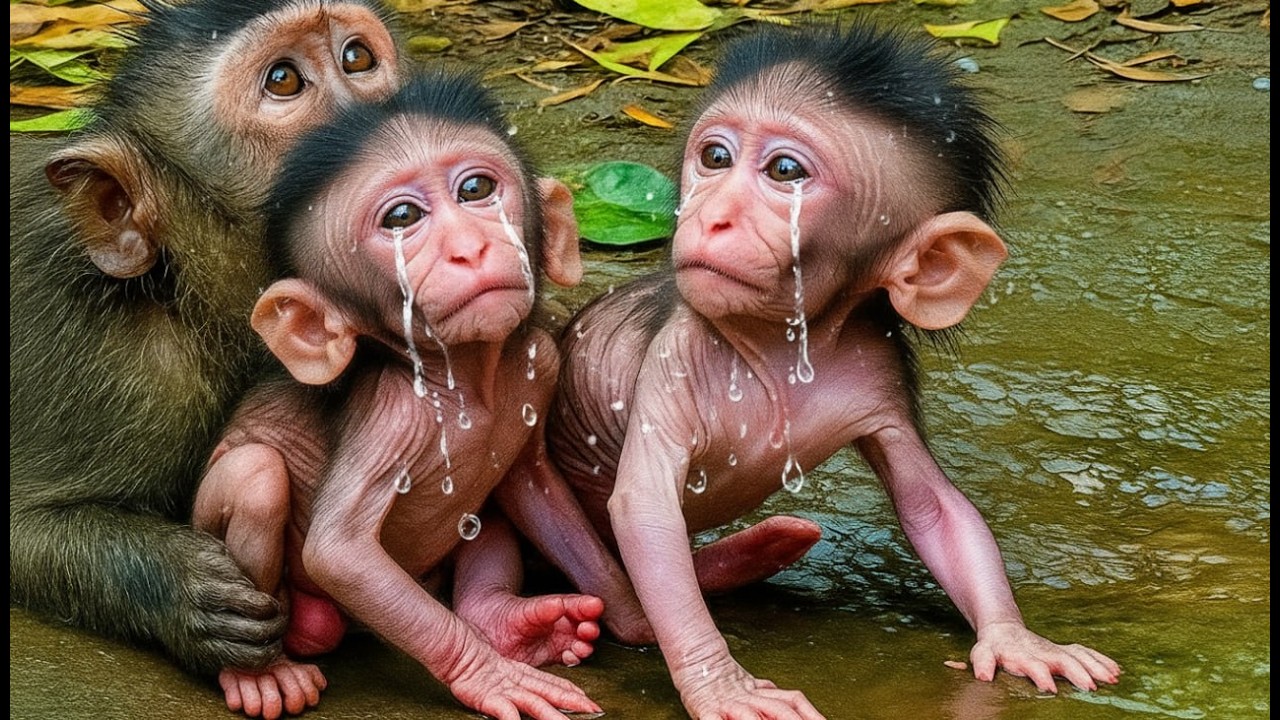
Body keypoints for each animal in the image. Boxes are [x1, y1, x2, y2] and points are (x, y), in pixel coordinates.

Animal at [10, 0, 400, 677]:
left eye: (356, 58)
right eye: (283, 81)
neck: (176, 290)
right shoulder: (119, 372)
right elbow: (23, 534)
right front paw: (182, 590)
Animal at [191, 73, 613, 720]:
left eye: (476, 189)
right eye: (402, 218)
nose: (469, 247)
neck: (470, 379)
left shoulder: (541, 361)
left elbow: (536, 484)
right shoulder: (392, 411)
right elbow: (339, 551)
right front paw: (487, 675)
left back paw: (511, 624)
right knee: (256, 473)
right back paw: (261, 673)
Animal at [545, 24, 1122, 719]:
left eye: (784, 171)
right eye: (715, 157)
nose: (713, 215)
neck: (785, 340)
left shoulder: (882, 370)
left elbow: (932, 505)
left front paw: (1018, 640)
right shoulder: (674, 355)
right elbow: (645, 507)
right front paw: (723, 685)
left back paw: (763, 548)